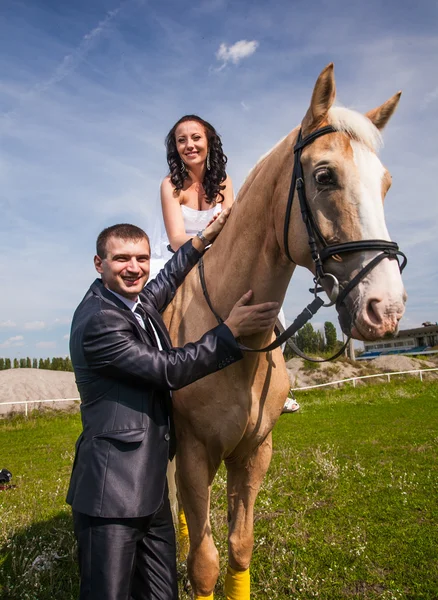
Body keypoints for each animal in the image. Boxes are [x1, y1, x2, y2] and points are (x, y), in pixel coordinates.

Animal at [163, 63, 408, 596]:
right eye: (324, 176)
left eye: (386, 184)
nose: (386, 309)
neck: (232, 343)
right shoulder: (193, 454)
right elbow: (205, 563)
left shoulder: (254, 454)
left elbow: (238, 549)